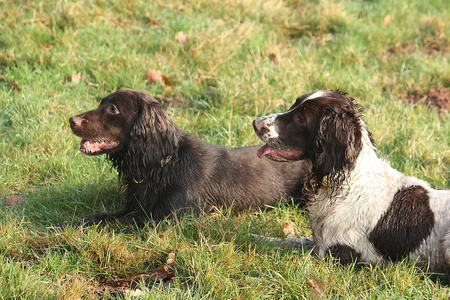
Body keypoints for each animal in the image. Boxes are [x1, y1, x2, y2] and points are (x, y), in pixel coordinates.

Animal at [253, 89, 450, 274]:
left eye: (301, 118)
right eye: (294, 105)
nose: (255, 123)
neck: (348, 184)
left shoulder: (337, 255)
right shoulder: (319, 243)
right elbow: (290, 240)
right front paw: (254, 237)